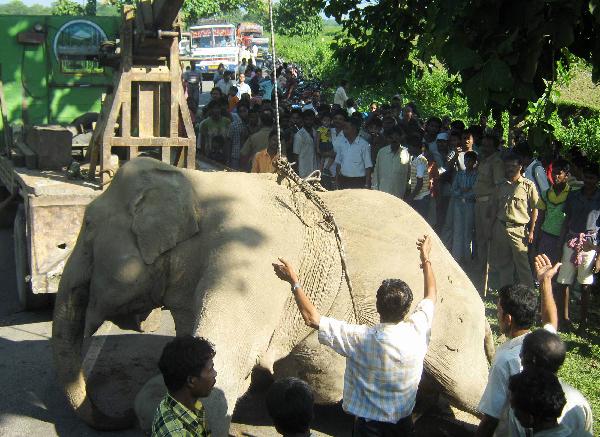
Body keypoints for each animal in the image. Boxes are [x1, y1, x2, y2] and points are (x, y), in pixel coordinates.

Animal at [50, 156, 492, 432]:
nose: (115, 414)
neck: (195, 182)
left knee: (473, 388)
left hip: (453, 331)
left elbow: (221, 369)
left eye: (87, 227)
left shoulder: (249, 264)